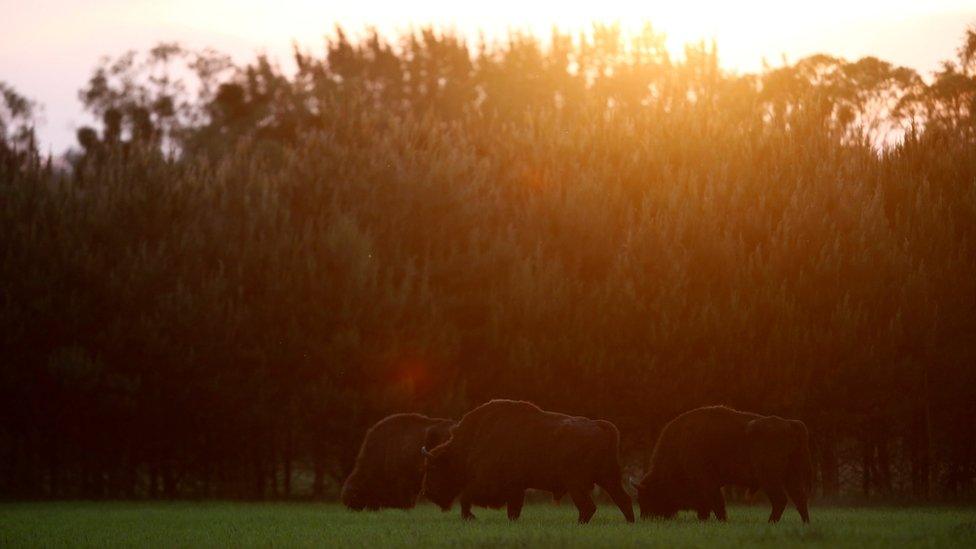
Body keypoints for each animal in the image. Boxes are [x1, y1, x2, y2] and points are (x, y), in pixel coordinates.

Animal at [420, 398, 632, 524]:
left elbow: (466, 497)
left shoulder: (489, 484)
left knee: (589, 507)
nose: (427, 492)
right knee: (623, 499)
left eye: (433, 468)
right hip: (609, 479)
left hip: (577, 484)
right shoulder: (516, 488)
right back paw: (630, 522)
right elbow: (513, 509)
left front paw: (469, 517)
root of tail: (600, 425)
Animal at [632, 406, 816, 524]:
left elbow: (716, 504)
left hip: (770, 478)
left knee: (781, 499)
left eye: (647, 496)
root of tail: (790, 424)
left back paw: (770, 522)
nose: (646, 518)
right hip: (791, 476)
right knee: (799, 498)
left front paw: (720, 521)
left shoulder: (708, 483)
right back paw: (805, 523)